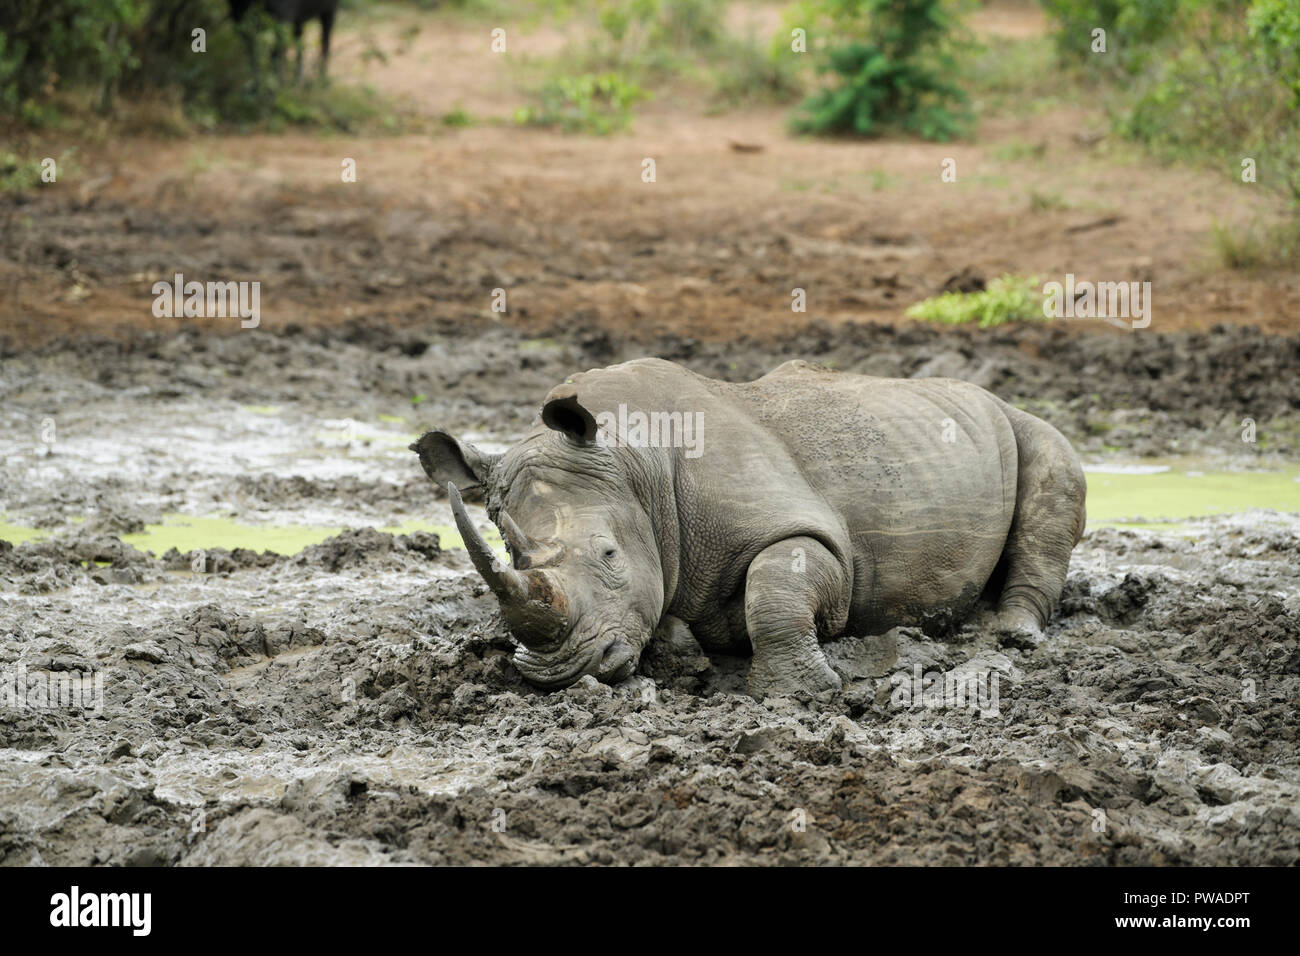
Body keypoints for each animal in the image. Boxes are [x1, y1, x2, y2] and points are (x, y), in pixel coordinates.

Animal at [416, 356, 1086, 697]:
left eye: (608, 556)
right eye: (512, 553)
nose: (559, 675)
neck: (635, 463)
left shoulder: (808, 534)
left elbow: (775, 587)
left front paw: (805, 690)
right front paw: (685, 650)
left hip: (1020, 424)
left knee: (1054, 473)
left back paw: (1014, 636)